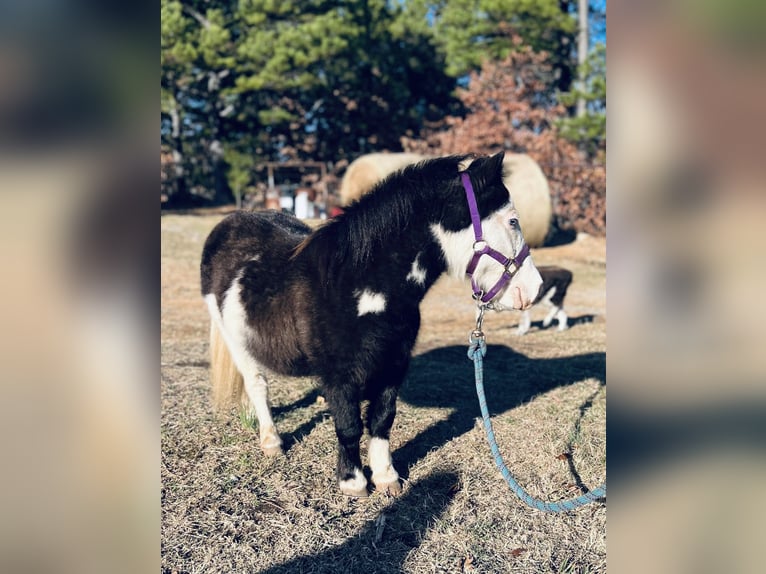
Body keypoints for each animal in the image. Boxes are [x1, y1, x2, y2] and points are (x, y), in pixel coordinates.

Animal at [201, 153, 544, 500]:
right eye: (513, 221)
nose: (533, 289)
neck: (357, 285)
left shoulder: (394, 363)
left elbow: (381, 419)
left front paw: (385, 476)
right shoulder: (340, 374)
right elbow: (349, 424)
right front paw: (352, 481)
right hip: (234, 338)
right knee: (257, 384)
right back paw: (271, 441)